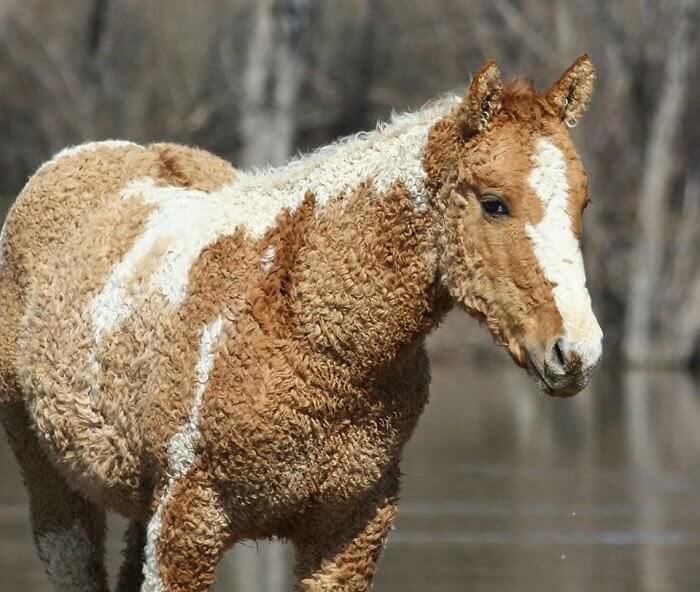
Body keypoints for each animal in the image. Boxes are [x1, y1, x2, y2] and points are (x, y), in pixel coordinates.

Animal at [0, 55, 602, 591]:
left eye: (583, 203)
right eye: (495, 203)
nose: (577, 352)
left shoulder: (349, 530)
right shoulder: (186, 523)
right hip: (52, 484)